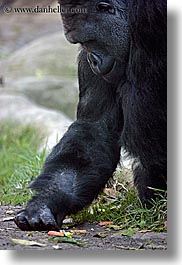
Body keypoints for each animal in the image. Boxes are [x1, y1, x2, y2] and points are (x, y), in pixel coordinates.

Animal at [14, 0, 167, 230]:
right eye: (81, 44)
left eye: (90, 40)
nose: (92, 60)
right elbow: (95, 128)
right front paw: (44, 203)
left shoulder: (149, 23)